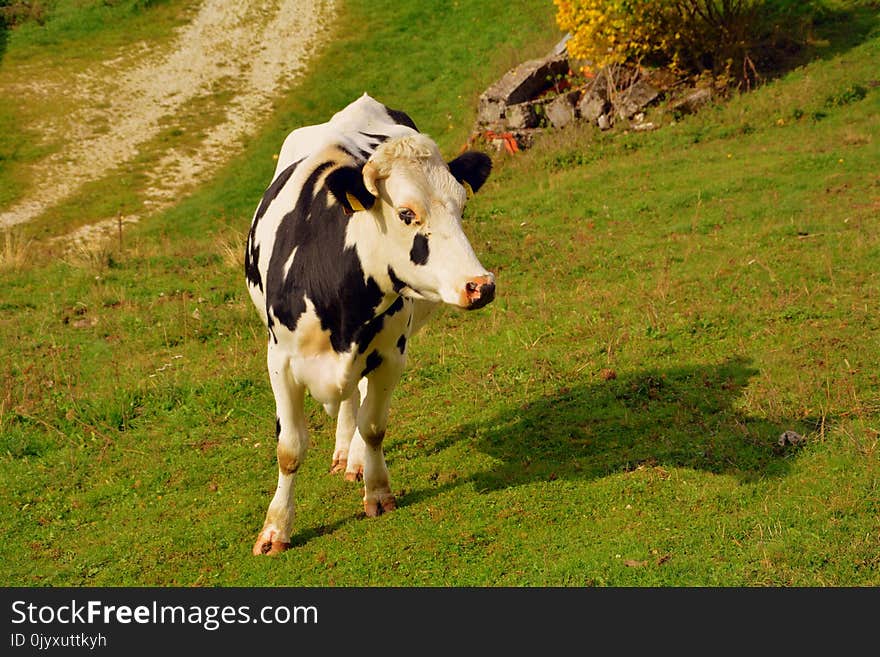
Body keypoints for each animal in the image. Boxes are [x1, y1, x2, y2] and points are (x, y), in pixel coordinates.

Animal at [246, 92, 496, 552]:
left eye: (462, 206)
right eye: (406, 214)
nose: (480, 285)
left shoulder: (390, 355)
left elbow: (374, 425)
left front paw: (377, 492)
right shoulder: (280, 361)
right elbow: (289, 448)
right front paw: (275, 530)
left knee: (356, 401)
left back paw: (355, 457)